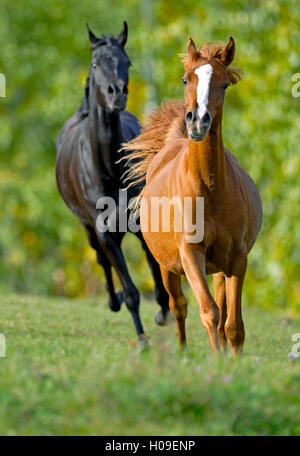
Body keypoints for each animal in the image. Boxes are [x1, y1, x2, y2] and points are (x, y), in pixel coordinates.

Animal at [55, 20, 169, 342]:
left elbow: (155, 271)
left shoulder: (140, 220)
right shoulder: (103, 230)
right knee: (101, 260)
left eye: (126, 62)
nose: (116, 92)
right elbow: (129, 289)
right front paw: (141, 339)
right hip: (88, 227)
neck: (107, 168)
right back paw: (112, 299)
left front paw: (162, 313)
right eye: (96, 63)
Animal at [123, 36, 262, 356]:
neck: (209, 190)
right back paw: (184, 352)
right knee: (179, 307)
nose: (198, 121)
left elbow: (233, 324)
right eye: (186, 79)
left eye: (224, 84)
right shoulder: (190, 253)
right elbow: (208, 311)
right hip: (167, 268)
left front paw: (232, 360)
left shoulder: (238, 259)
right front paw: (217, 359)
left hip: (220, 268)